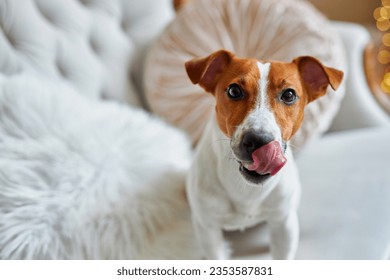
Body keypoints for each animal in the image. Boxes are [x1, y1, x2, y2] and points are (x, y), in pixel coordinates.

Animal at [184, 49, 342, 260]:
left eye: (289, 94)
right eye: (234, 91)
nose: (258, 140)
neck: (245, 190)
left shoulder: (283, 223)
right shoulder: (208, 229)